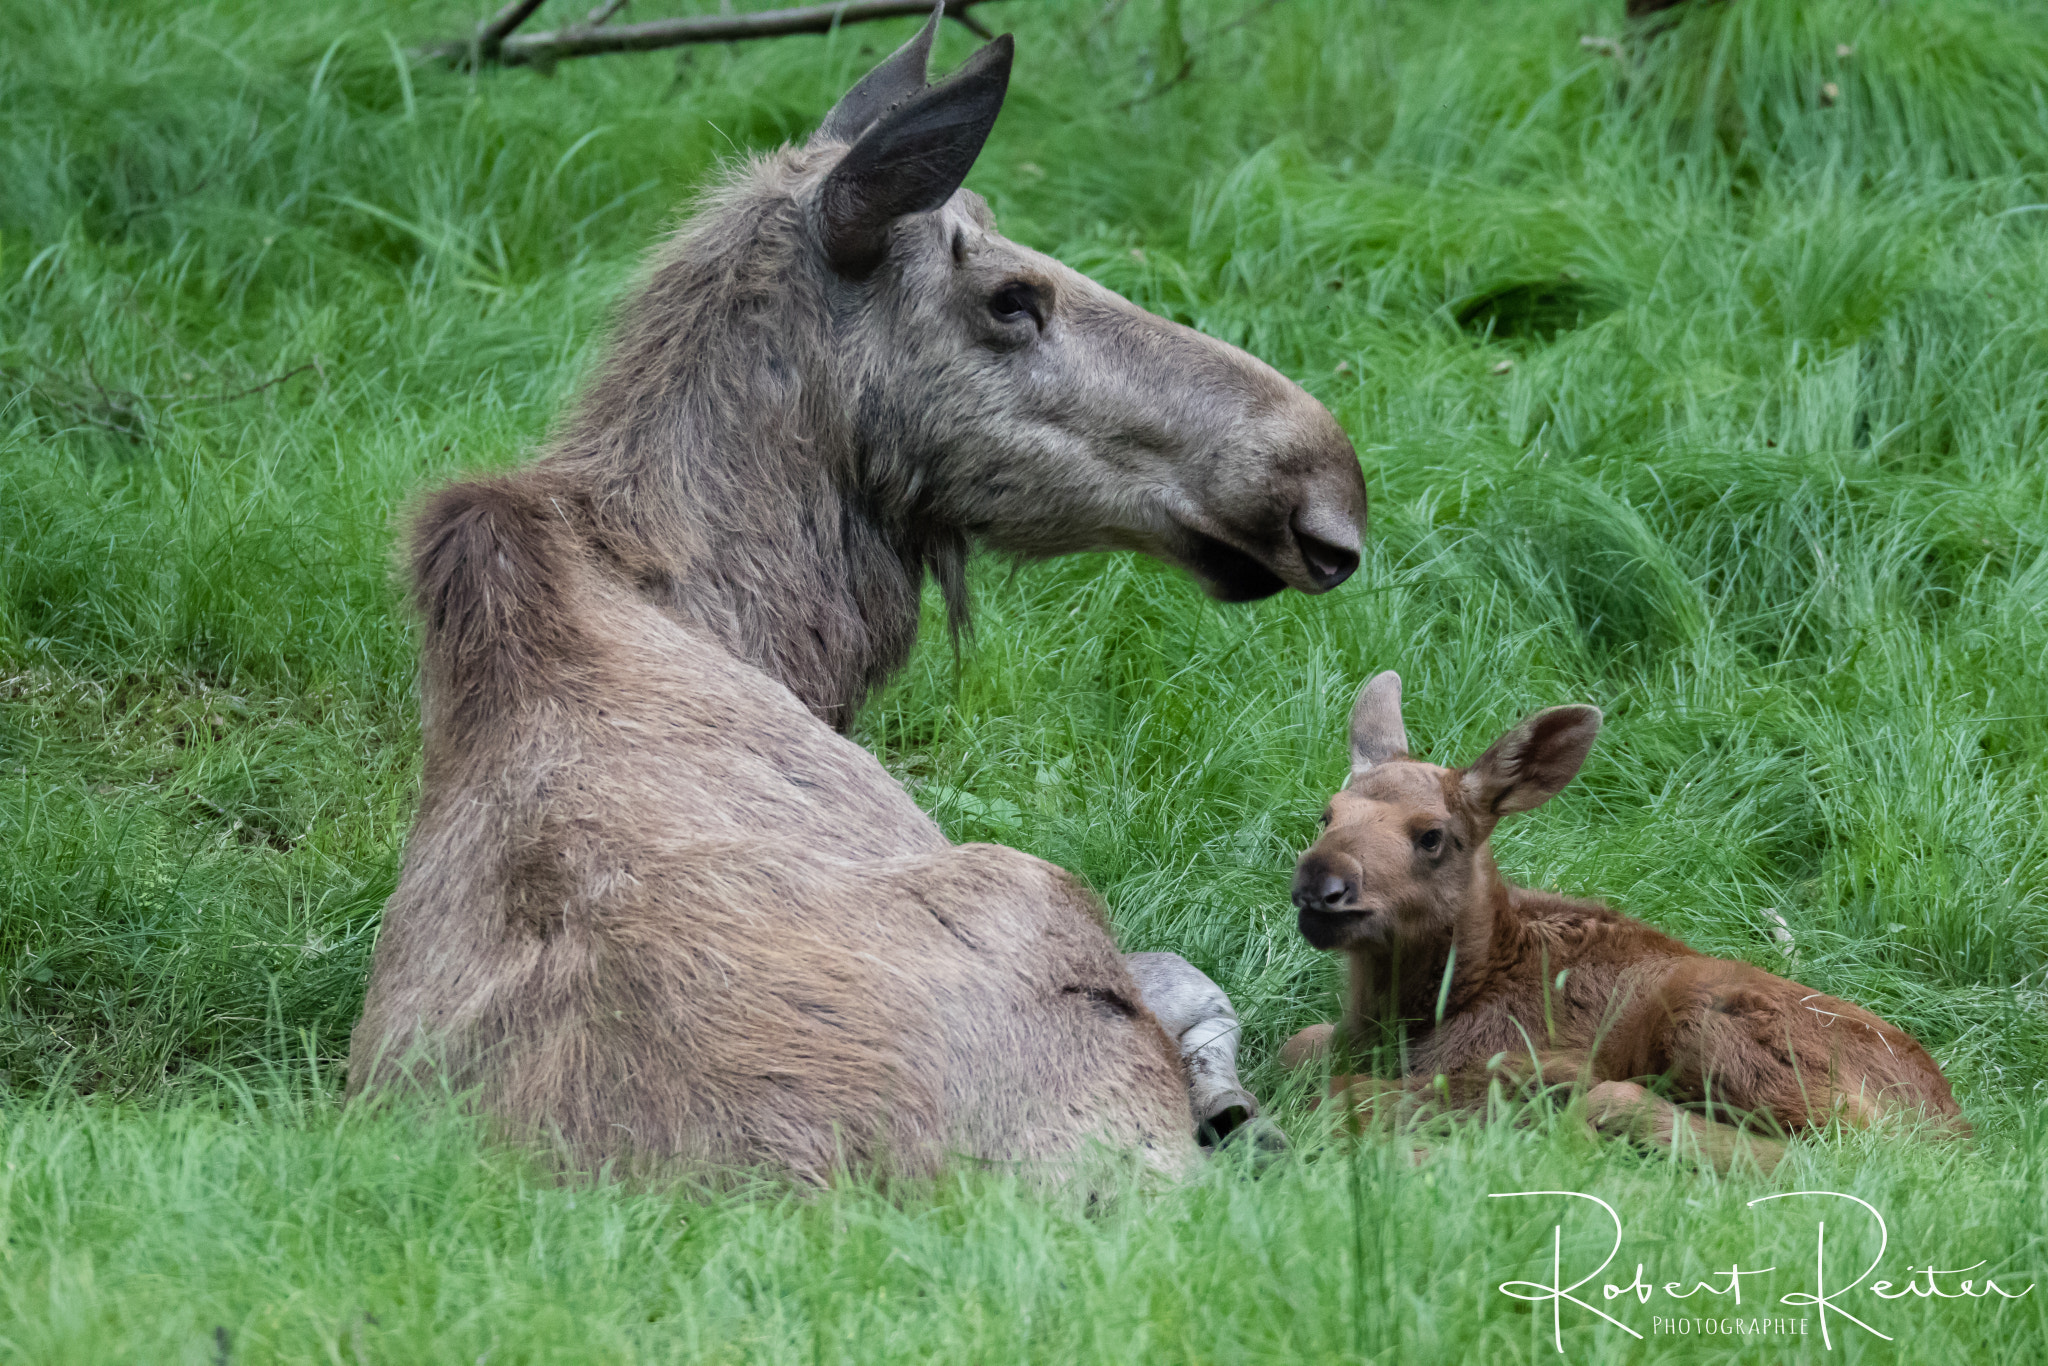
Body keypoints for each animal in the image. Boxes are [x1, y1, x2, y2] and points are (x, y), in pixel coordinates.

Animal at [1280, 672, 1966, 1172]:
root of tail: (1954, 1128)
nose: (1321, 883)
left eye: (1432, 837)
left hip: (1715, 1017)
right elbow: (1300, 1046)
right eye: (1327, 813)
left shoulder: (1534, 1061)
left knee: (1849, 1155)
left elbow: (1351, 1091)